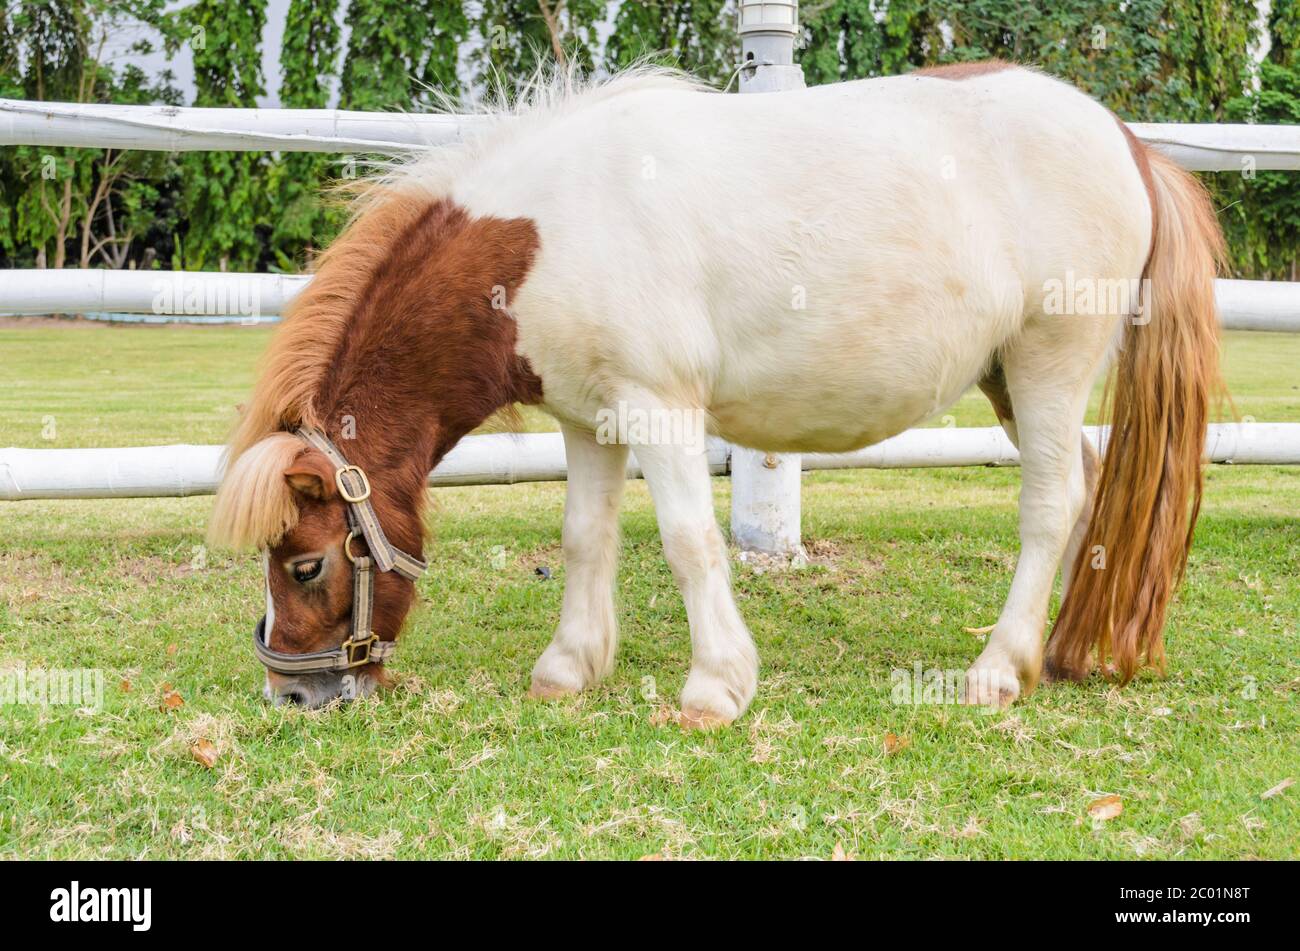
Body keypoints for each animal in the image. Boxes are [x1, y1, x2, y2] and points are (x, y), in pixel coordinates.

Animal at [208, 63, 1222, 722]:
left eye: (305, 564)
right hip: (1011, 379)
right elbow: (585, 538)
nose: (291, 691)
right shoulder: (590, 419)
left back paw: (999, 670)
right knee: (1085, 491)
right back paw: (1058, 653)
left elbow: (689, 540)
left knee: (1050, 504)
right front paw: (569, 668)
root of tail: (1128, 145)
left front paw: (716, 687)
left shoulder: (660, 408)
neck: (548, 233)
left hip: (1050, 363)